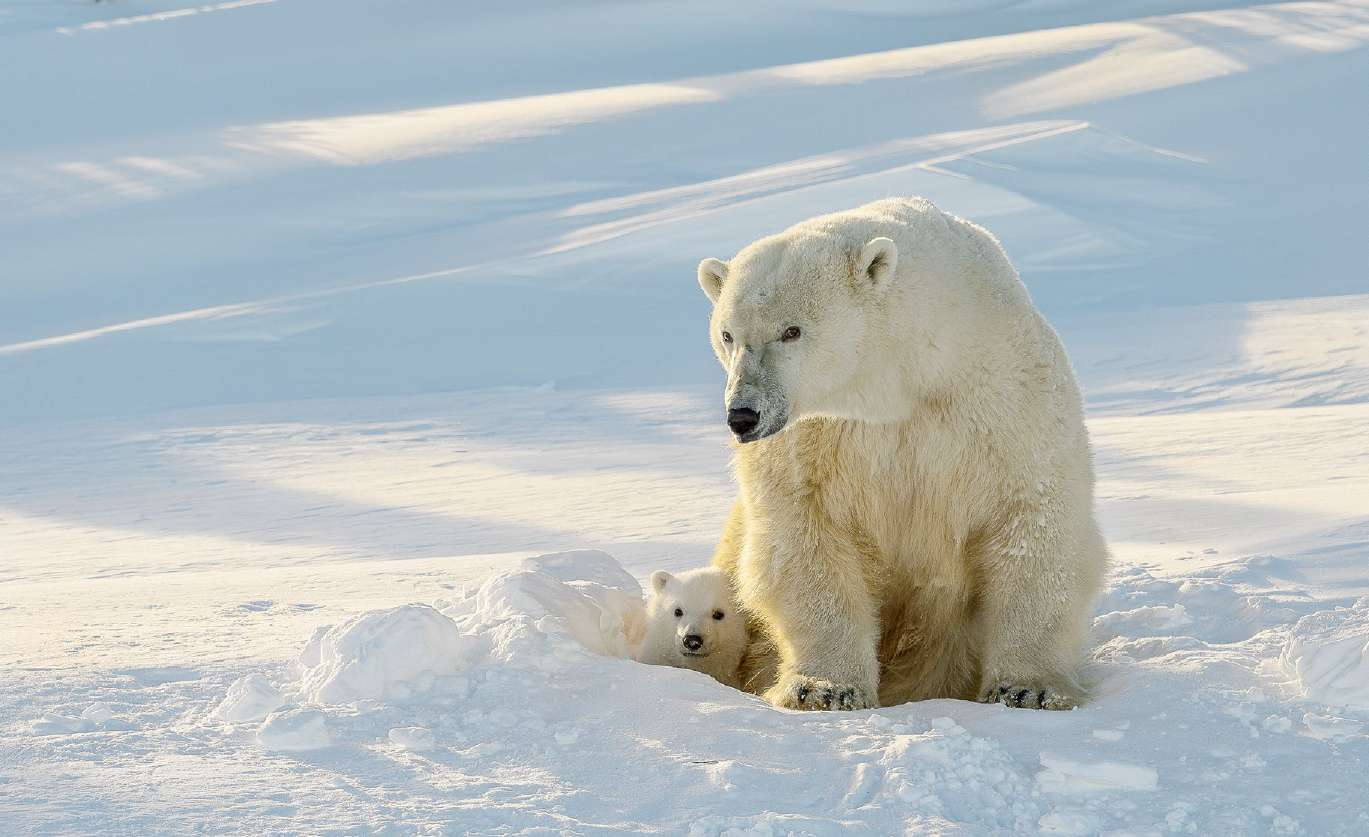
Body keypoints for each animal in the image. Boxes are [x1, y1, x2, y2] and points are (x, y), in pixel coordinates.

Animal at [700, 198, 1106, 712]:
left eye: (792, 330)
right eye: (728, 334)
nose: (743, 415)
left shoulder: (1004, 403)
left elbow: (1033, 522)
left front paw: (1027, 688)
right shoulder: (813, 441)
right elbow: (804, 536)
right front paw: (823, 689)